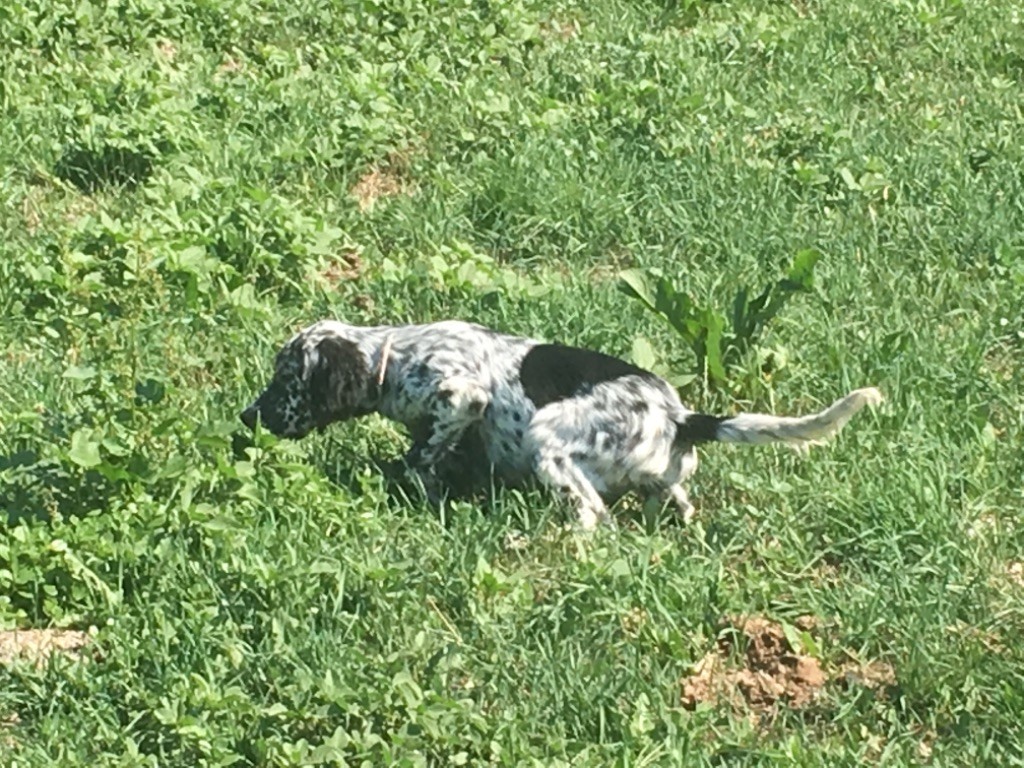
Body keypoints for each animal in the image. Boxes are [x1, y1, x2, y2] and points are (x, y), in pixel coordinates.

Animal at [239, 321, 880, 532]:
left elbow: (423, 455)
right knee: (675, 504)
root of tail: (680, 416)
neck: (397, 356)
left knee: (594, 515)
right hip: (664, 482)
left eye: (285, 378)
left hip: (548, 442)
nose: (247, 417)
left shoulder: (462, 395)